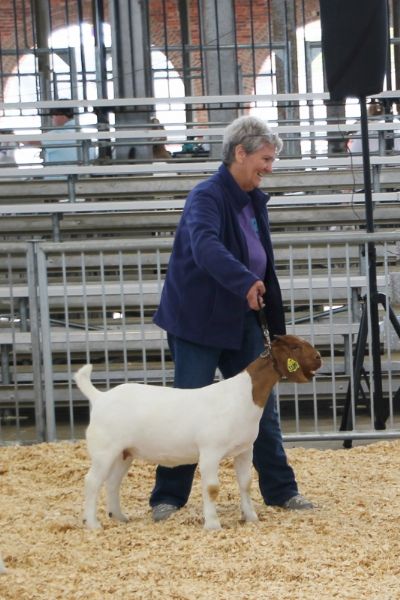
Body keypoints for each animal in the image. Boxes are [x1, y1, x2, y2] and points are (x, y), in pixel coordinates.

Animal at [76, 336, 322, 532]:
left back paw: (119, 517)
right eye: (295, 346)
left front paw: (251, 518)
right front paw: (213, 525)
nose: (319, 357)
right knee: (92, 481)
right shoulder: (210, 451)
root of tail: (100, 397)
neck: (243, 395)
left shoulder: (244, 450)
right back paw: (93, 524)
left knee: (112, 482)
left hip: (124, 452)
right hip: (104, 449)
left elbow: (246, 483)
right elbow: (212, 488)